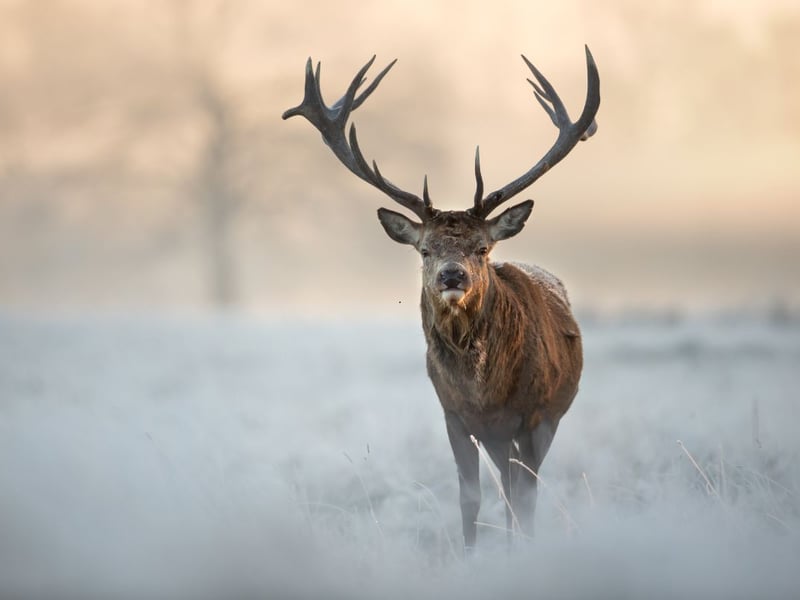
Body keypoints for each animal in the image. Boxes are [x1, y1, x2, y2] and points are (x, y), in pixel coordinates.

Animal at [282, 47, 600, 551]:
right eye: (425, 249)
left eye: (483, 248)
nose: (453, 275)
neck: (485, 393)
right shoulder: (454, 416)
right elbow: (470, 497)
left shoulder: (534, 415)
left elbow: (525, 498)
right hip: (497, 437)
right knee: (505, 486)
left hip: (547, 417)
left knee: (518, 489)